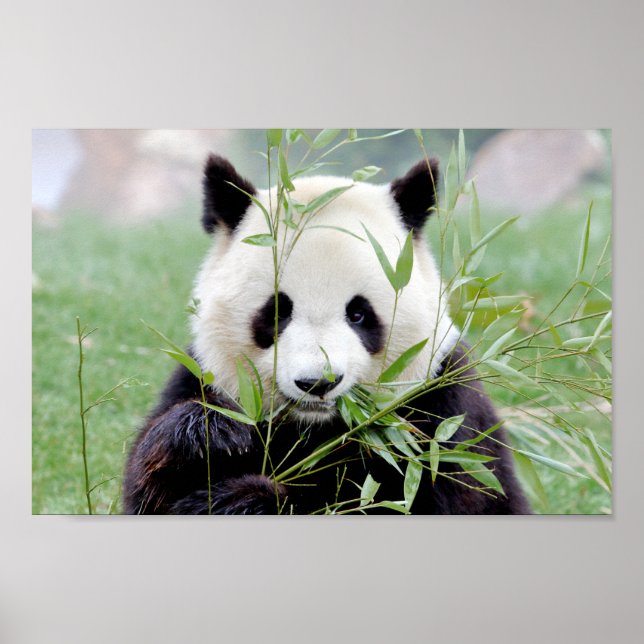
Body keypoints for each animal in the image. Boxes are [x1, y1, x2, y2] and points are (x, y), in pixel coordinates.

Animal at [123, 153, 530, 515]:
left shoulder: (441, 410)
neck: (314, 427)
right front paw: (212, 435)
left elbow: (407, 499)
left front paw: (243, 501)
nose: (317, 382)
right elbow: (147, 486)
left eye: (359, 314)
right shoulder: (205, 375)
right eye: (277, 312)